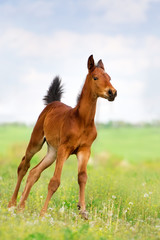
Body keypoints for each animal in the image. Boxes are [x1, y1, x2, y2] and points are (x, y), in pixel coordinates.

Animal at [8, 55, 117, 218]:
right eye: (95, 77)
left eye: (109, 77)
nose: (112, 92)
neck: (82, 121)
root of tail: (53, 103)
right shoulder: (64, 149)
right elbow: (54, 181)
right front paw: (43, 213)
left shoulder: (84, 150)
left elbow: (82, 177)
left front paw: (83, 211)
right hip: (37, 141)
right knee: (24, 166)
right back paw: (12, 204)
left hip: (52, 152)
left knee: (34, 172)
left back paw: (21, 206)